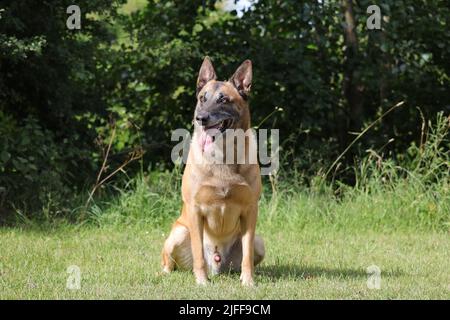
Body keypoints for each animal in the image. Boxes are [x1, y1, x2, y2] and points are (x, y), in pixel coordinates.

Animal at [161, 56, 264, 286]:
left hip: (260, 242)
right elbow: (198, 252)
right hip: (178, 233)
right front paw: (202, 282)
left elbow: (247, 256)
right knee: (169, 261)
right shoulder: (195, 209)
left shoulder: (250, 210)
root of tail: (216, 264)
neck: (222, 156)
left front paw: (248, 282)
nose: (200, 118)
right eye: (202, 98)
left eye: (223, 100)